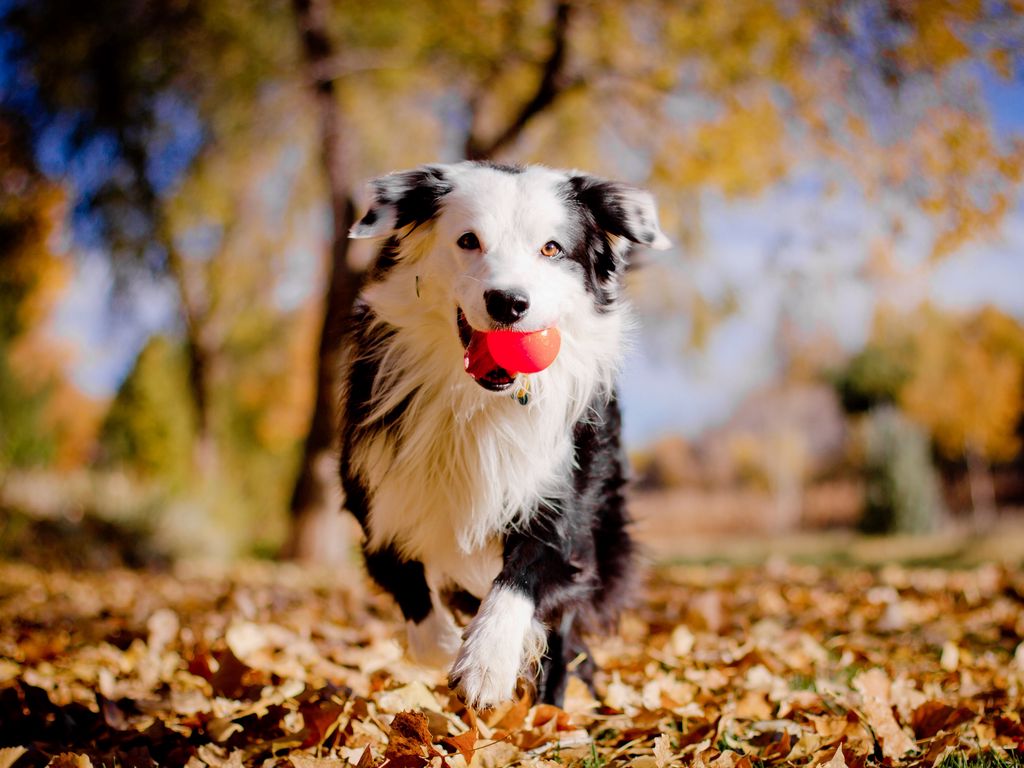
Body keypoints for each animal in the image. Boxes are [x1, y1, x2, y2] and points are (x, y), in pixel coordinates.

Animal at [339, 160, 667, 708]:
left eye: (552, 248)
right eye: (468, 241)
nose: (508, 302)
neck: (480, 403)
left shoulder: (561, 504)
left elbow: (522, 578)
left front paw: (486, 663)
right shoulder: (377, 500)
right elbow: (412, 596)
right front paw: (447, 643)